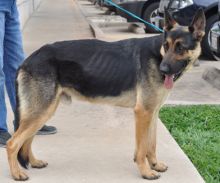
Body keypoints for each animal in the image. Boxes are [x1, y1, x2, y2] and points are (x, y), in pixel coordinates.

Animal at [6, 8, 206, 180]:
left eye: (180, 48)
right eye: (166, 45)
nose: (163, 70)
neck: (158, 55)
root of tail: (28, 60)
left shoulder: (153, 113)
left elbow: (152, 144)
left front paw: (155, 165)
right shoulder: (143, 113)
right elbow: (142, 149)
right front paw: (146, 172)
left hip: (43, 112)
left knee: (27, 141)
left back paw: (34, 162)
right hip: (41, 111)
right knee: (13, 143)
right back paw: (17, 174)